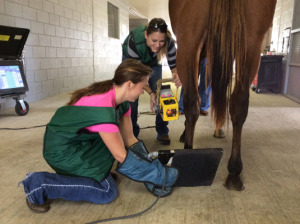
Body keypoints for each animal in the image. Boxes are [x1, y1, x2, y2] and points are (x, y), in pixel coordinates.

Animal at [169, 0, 276, 191]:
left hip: (190, 40)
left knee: (192, 100)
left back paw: (189, 151)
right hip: (250, 41)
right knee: (237, 103)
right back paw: (234, 172)